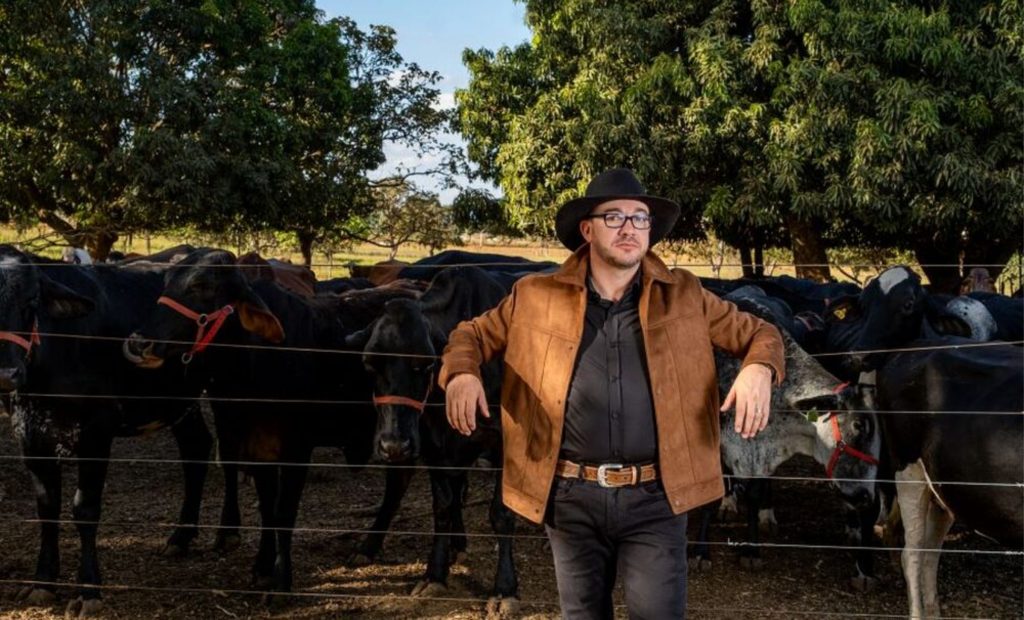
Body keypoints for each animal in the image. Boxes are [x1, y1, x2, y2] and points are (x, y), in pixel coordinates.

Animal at [0, 244, 212, 614]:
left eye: (32, 301)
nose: (7, 374)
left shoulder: (96, 432)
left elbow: (84, 509)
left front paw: (89, 589)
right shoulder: (28, 436)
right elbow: (47, 508)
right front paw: (43, 581)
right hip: (179, 402)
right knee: (197, 449)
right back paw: (180, 537)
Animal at [121, 249, 417, 602]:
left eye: (201, 285)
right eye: (167, 281)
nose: (139, 343)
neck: (256, 361)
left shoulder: (297, 450)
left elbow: (284, 513)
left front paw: (280, 581)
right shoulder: (257, 448)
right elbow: (267, 510)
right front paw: (262, 567)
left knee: (400, 480)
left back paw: (370, 546)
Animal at [348, 266, 520, 614]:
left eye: (426, 363)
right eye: (369, 364)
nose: (394, 445)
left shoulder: (504, 443)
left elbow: (501, 514)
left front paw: (505, 589)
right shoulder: (434, 445)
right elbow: (442, 507)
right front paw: (435, 574)